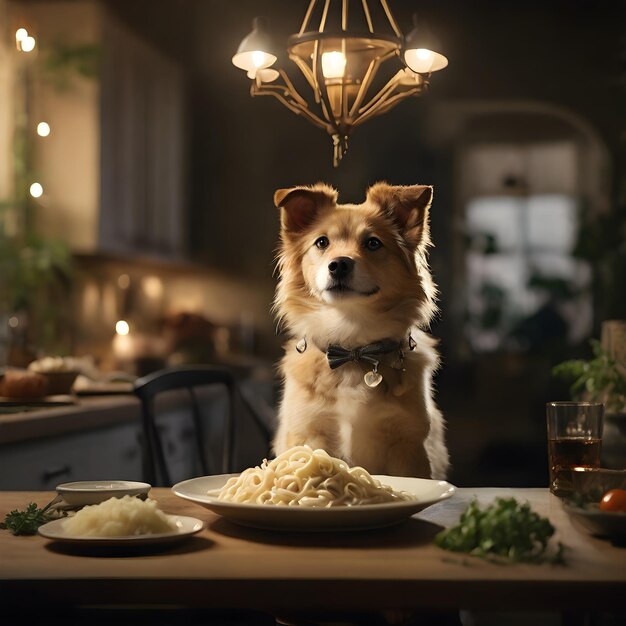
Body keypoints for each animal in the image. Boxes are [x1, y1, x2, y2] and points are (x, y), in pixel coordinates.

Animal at [270, 180, 446, 478]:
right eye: (321, 242)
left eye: (373, 243)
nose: (339, 264)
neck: (352, 343)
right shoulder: (308, 433)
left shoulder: (408, 444)